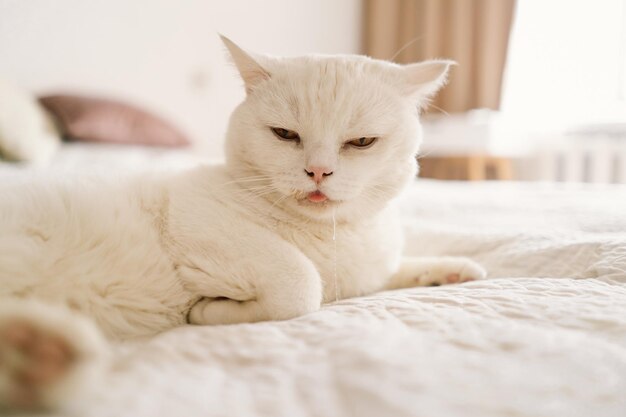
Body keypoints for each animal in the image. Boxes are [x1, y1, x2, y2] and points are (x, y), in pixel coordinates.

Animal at [0, 36, 482, 410]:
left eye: (361, 142)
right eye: (285, 135)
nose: (318, 171)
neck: (331, 239)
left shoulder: (364, 273)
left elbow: (392, 270)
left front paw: (453, 270)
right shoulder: (194, 217)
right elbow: (302, 285)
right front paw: (210, 310)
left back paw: (37, 356)